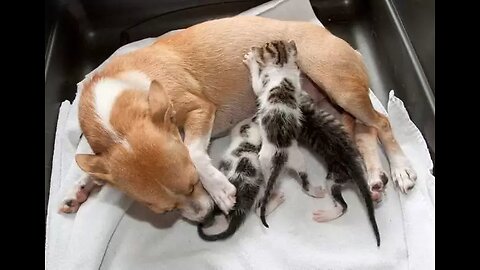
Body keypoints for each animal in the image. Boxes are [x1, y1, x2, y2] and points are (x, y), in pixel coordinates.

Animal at [59, 15, 416, 220]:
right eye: (163, 211)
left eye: (193, 183)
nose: (206, 216)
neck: (117, 108)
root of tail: (341, 41)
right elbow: (90, 164)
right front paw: (78, 189)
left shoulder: (200, 109)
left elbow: (192, 149)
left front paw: (220, 188)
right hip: (332, 107)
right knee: (363, 132)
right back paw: (374, 178)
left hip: (339, 86)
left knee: (381, 123)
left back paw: (399, 169)